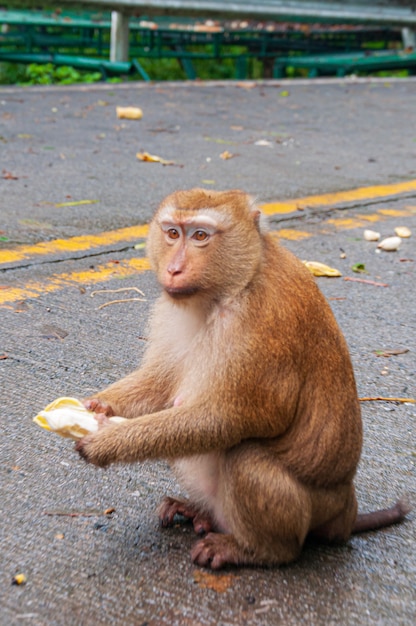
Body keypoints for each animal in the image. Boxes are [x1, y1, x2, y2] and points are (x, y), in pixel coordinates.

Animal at [75, 188, 410, 568]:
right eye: (173, 233)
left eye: (200, 236)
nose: (174, 268)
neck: (234, 286)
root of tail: (346, 511)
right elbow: (162, 383)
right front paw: (98, 406)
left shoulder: (263, 325)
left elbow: (233, 417)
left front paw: (106, 441)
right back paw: (200, 512)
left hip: (310, 512)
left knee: (247, 456)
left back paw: (258, 550)